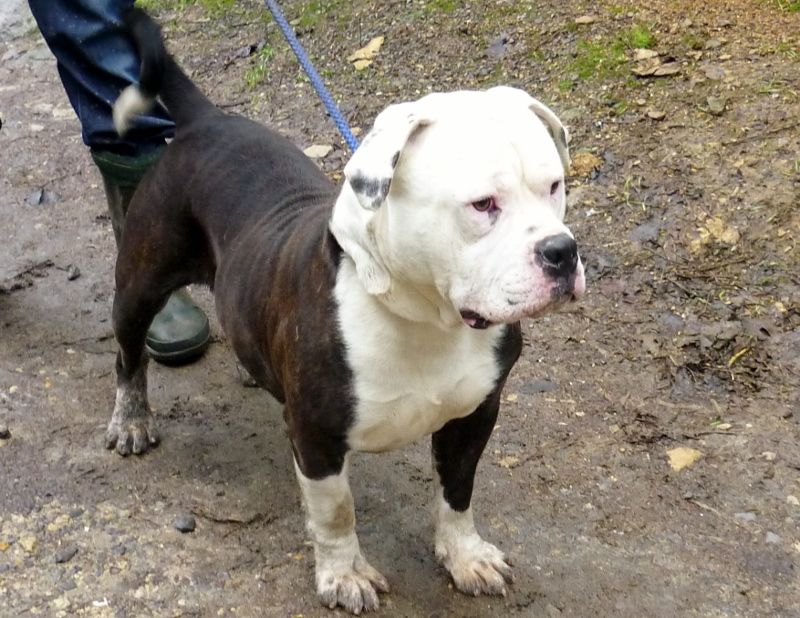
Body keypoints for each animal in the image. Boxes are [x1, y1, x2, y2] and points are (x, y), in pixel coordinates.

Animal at [108, 9, 588, 612]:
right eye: (483, 205)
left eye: (554, 186)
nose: (561, 251)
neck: (424, 318)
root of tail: (206, 120)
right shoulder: (316, 437)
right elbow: (336, 512)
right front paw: (344, 575)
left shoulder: (476, 413)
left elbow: (457, 493)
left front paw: (465, 556)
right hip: (141, 280)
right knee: (129, 354)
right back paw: (130, 419)